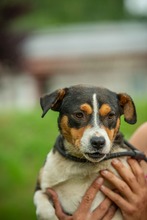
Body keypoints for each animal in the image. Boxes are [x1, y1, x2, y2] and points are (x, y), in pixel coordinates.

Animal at [34, 84, 137, 220]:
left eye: (111, 115)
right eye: (79, 114)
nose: (98, 142)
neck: (83, 163)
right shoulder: (41, 188)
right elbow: (44, 209)